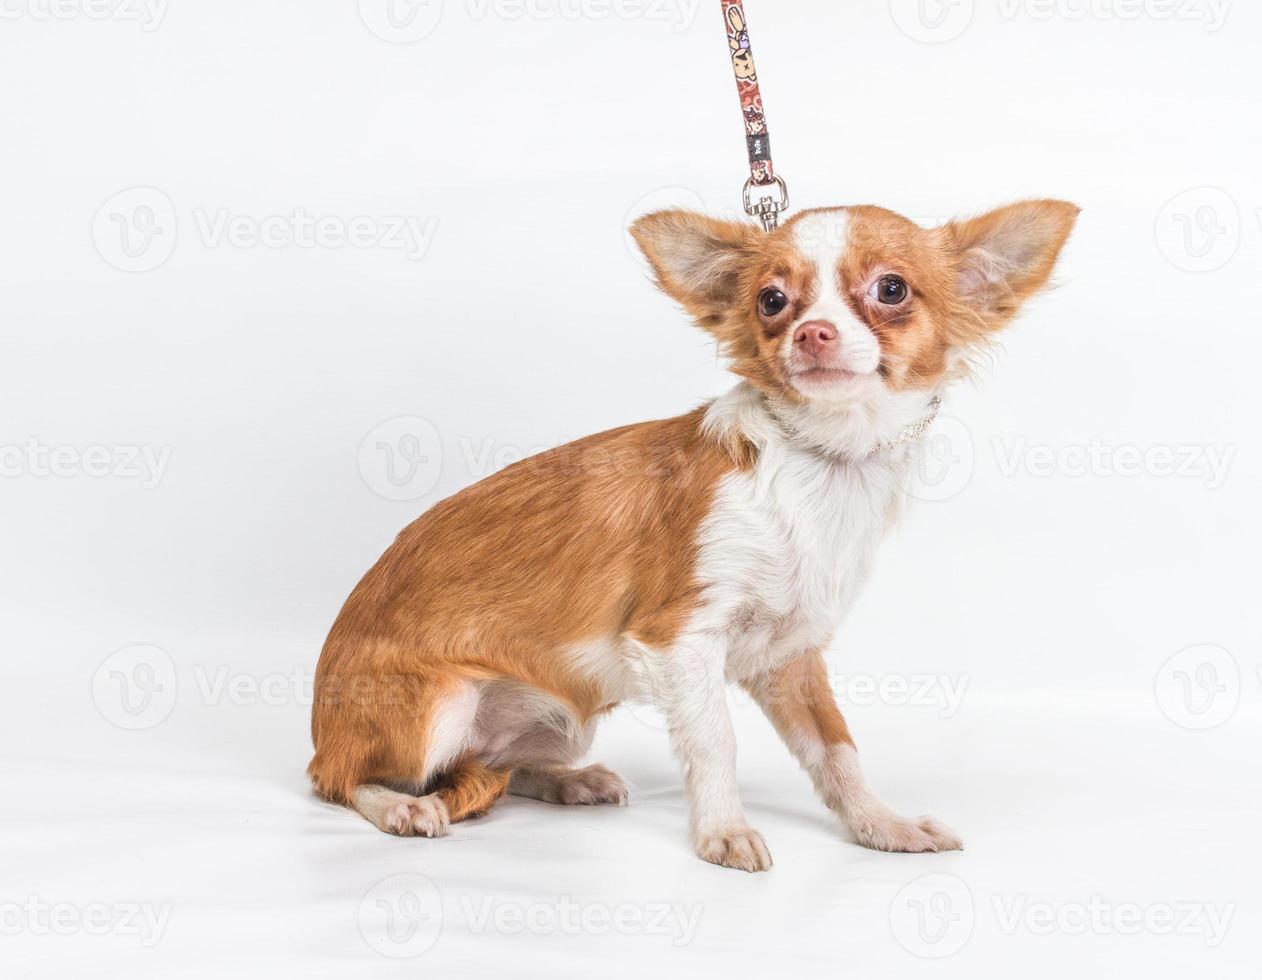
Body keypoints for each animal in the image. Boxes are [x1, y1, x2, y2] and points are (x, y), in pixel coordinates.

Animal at [310, 199, 1080, 872]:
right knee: (345, 780)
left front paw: (878, 824)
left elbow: (837, 752)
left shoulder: (790, 659)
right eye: (772, 301)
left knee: (492, 767)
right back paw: (399, 807)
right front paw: (723, 831)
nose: (812, 332)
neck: (820, 465)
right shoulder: (677, 638)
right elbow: (716, 742)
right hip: (439, 706)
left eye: (891, 289)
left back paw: (567, 781)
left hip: (563, 717)